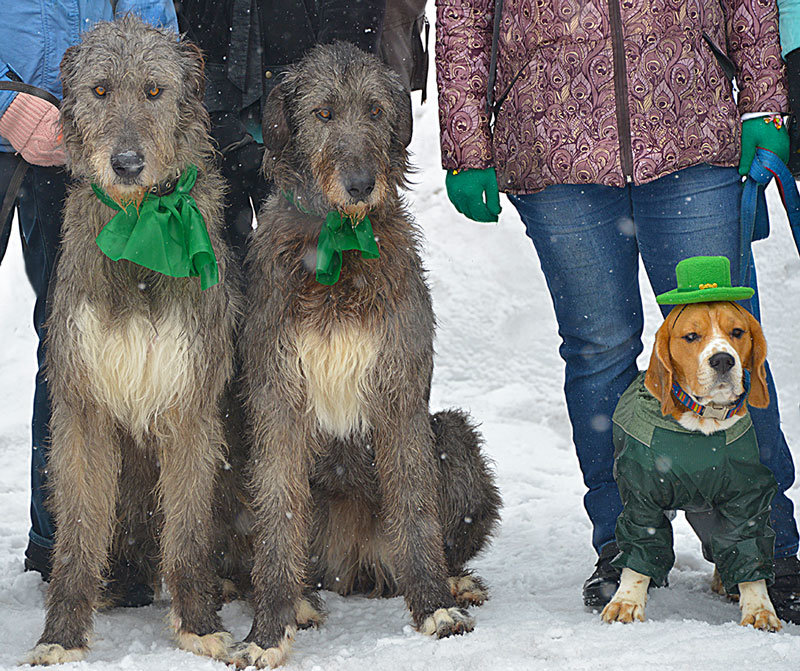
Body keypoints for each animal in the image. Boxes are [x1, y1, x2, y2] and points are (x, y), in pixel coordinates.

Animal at [25, 15, 244, 668]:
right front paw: (62, 634)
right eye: (99, 90)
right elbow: (77, 534)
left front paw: (199, 624)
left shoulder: (191, 404)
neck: (141, 230)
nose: (125, 163)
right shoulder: (82, 406)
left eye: (154, 91)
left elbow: (190, 533)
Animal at [231, 44, 504, 668]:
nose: (361, 184)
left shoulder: (400, 385)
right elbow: (278, 514)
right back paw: (302, 599)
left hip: (453, 435)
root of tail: (352, 564)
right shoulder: (277, 394)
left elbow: (414, 502)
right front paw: (267, 631)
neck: (339, 246)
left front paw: (433, 608)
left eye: (377, 111)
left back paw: (453, 581)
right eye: (324, 113)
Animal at [600, 302, 780, 632]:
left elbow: (748, 548)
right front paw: (626, 602)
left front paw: (760, 609)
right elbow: (639, 550)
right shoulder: (642, 497)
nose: (722, 359)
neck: (703, 420)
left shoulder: (746, 497)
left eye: (738, 332)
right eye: (692, 336)